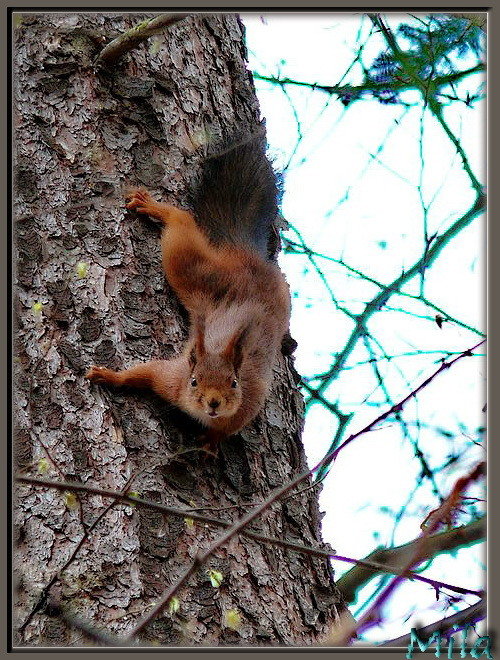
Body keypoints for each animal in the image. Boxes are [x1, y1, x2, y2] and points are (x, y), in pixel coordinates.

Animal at [85, 131, 290, 446]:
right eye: (194, 381)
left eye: (234, 382)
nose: (214, 402)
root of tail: (247, 257)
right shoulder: (172, 379)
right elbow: (146, 372)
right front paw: (110, 376)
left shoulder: (248, 403)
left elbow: (223, 431)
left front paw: (210, 443)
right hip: (196, 272)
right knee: (182, 222)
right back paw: (156, 208)